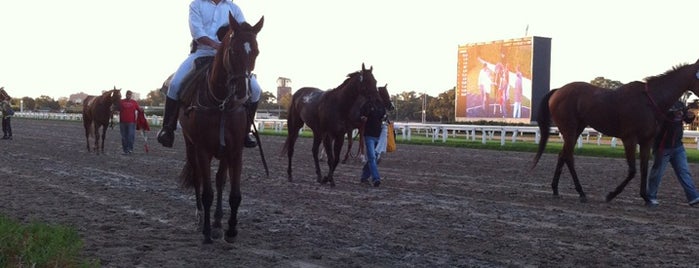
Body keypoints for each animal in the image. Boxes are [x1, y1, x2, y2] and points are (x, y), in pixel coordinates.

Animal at [176, 14, 264, 245]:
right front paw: (207, 231)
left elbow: (234, 194)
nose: (242, 92)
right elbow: (207, 192)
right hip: (191, 147)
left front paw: (230, 230)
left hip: (223, 153)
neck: (221, 103)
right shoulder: (202, 150)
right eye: (232, 51)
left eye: (256, 51)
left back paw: (217, 221)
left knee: (220, 181)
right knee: (198, 179)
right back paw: (201, 219)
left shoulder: (235, 151)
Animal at [532, 59, 699, 203]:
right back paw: (581, 192)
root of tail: (557, 91)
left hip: (577, 128)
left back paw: (555, 189)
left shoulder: (646, 141)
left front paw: (646, 197)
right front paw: (611, 195)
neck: (650, 100)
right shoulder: (629, 139)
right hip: (570, 129)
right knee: (568, 156)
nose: (690, 114)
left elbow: (644, 168)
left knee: (563, 155)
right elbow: (632, 170)